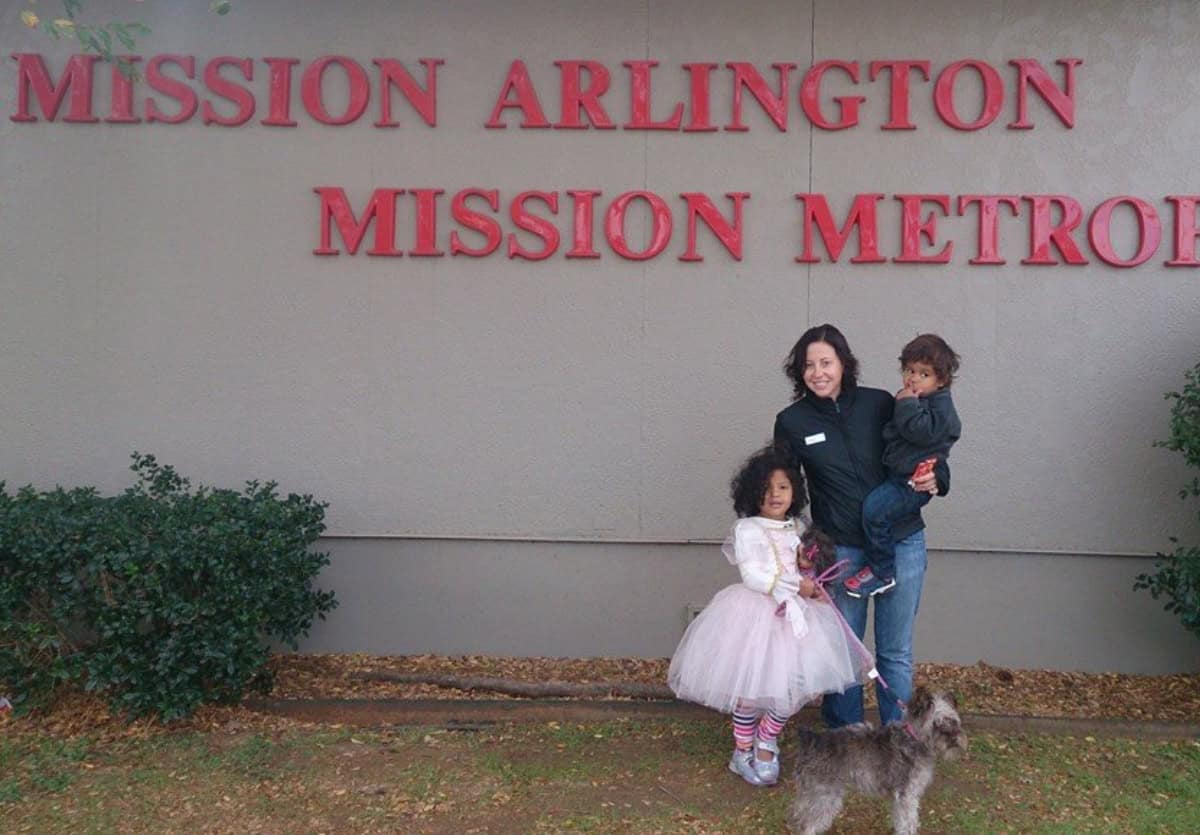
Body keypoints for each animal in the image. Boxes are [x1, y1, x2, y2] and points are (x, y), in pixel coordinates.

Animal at [787, 686, 964, 830]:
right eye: (937, 723)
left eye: (954, 721)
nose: (955, 739)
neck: (913, 739)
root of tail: (812, 739)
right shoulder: (906, 796)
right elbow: (908, 823)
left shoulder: (900, 799)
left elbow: (900, 821)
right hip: (825, 797)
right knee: (808, 827)